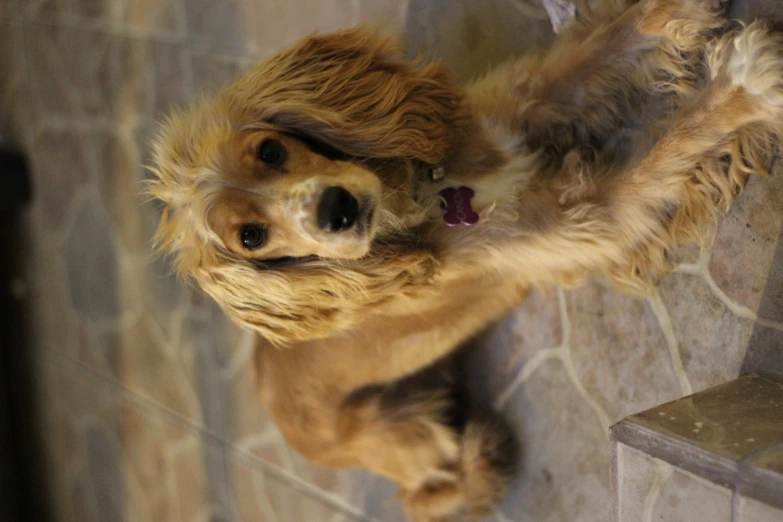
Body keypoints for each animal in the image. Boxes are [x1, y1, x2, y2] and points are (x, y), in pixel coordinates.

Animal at [145, 1, 783, 516]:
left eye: (271, 150)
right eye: (250, 236)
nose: (337, 211)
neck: (425, 202)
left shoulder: (528, 101)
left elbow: (619, 35)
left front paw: (682, 12)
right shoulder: (596, 219)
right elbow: (671, 145)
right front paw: (745, 86)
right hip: (410, 434)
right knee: (435, 486)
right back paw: (481, 457)